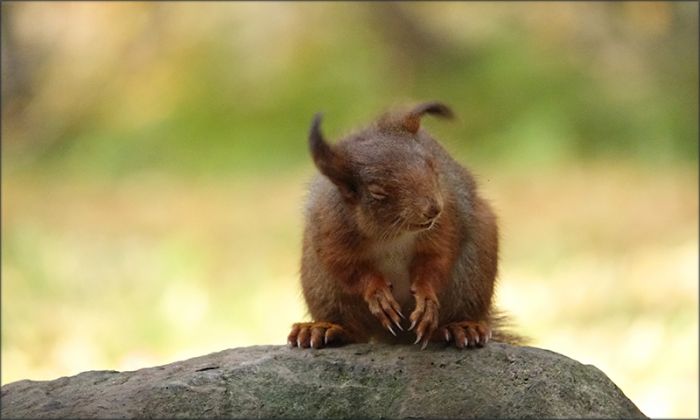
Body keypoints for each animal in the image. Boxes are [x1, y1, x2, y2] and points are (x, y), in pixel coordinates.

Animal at [288, 102, 523, 350]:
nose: (433, 209)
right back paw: (324, 329)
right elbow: (348, 268)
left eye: (433, 165)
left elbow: (435, 261)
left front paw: (426, 295)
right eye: (377, 191)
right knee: (353, 329)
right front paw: (377, 293)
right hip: (323, 286)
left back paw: (460, 327)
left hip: (472, 273)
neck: (393, 232)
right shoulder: (330, 230)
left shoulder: (446, 221)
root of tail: (399, 338)